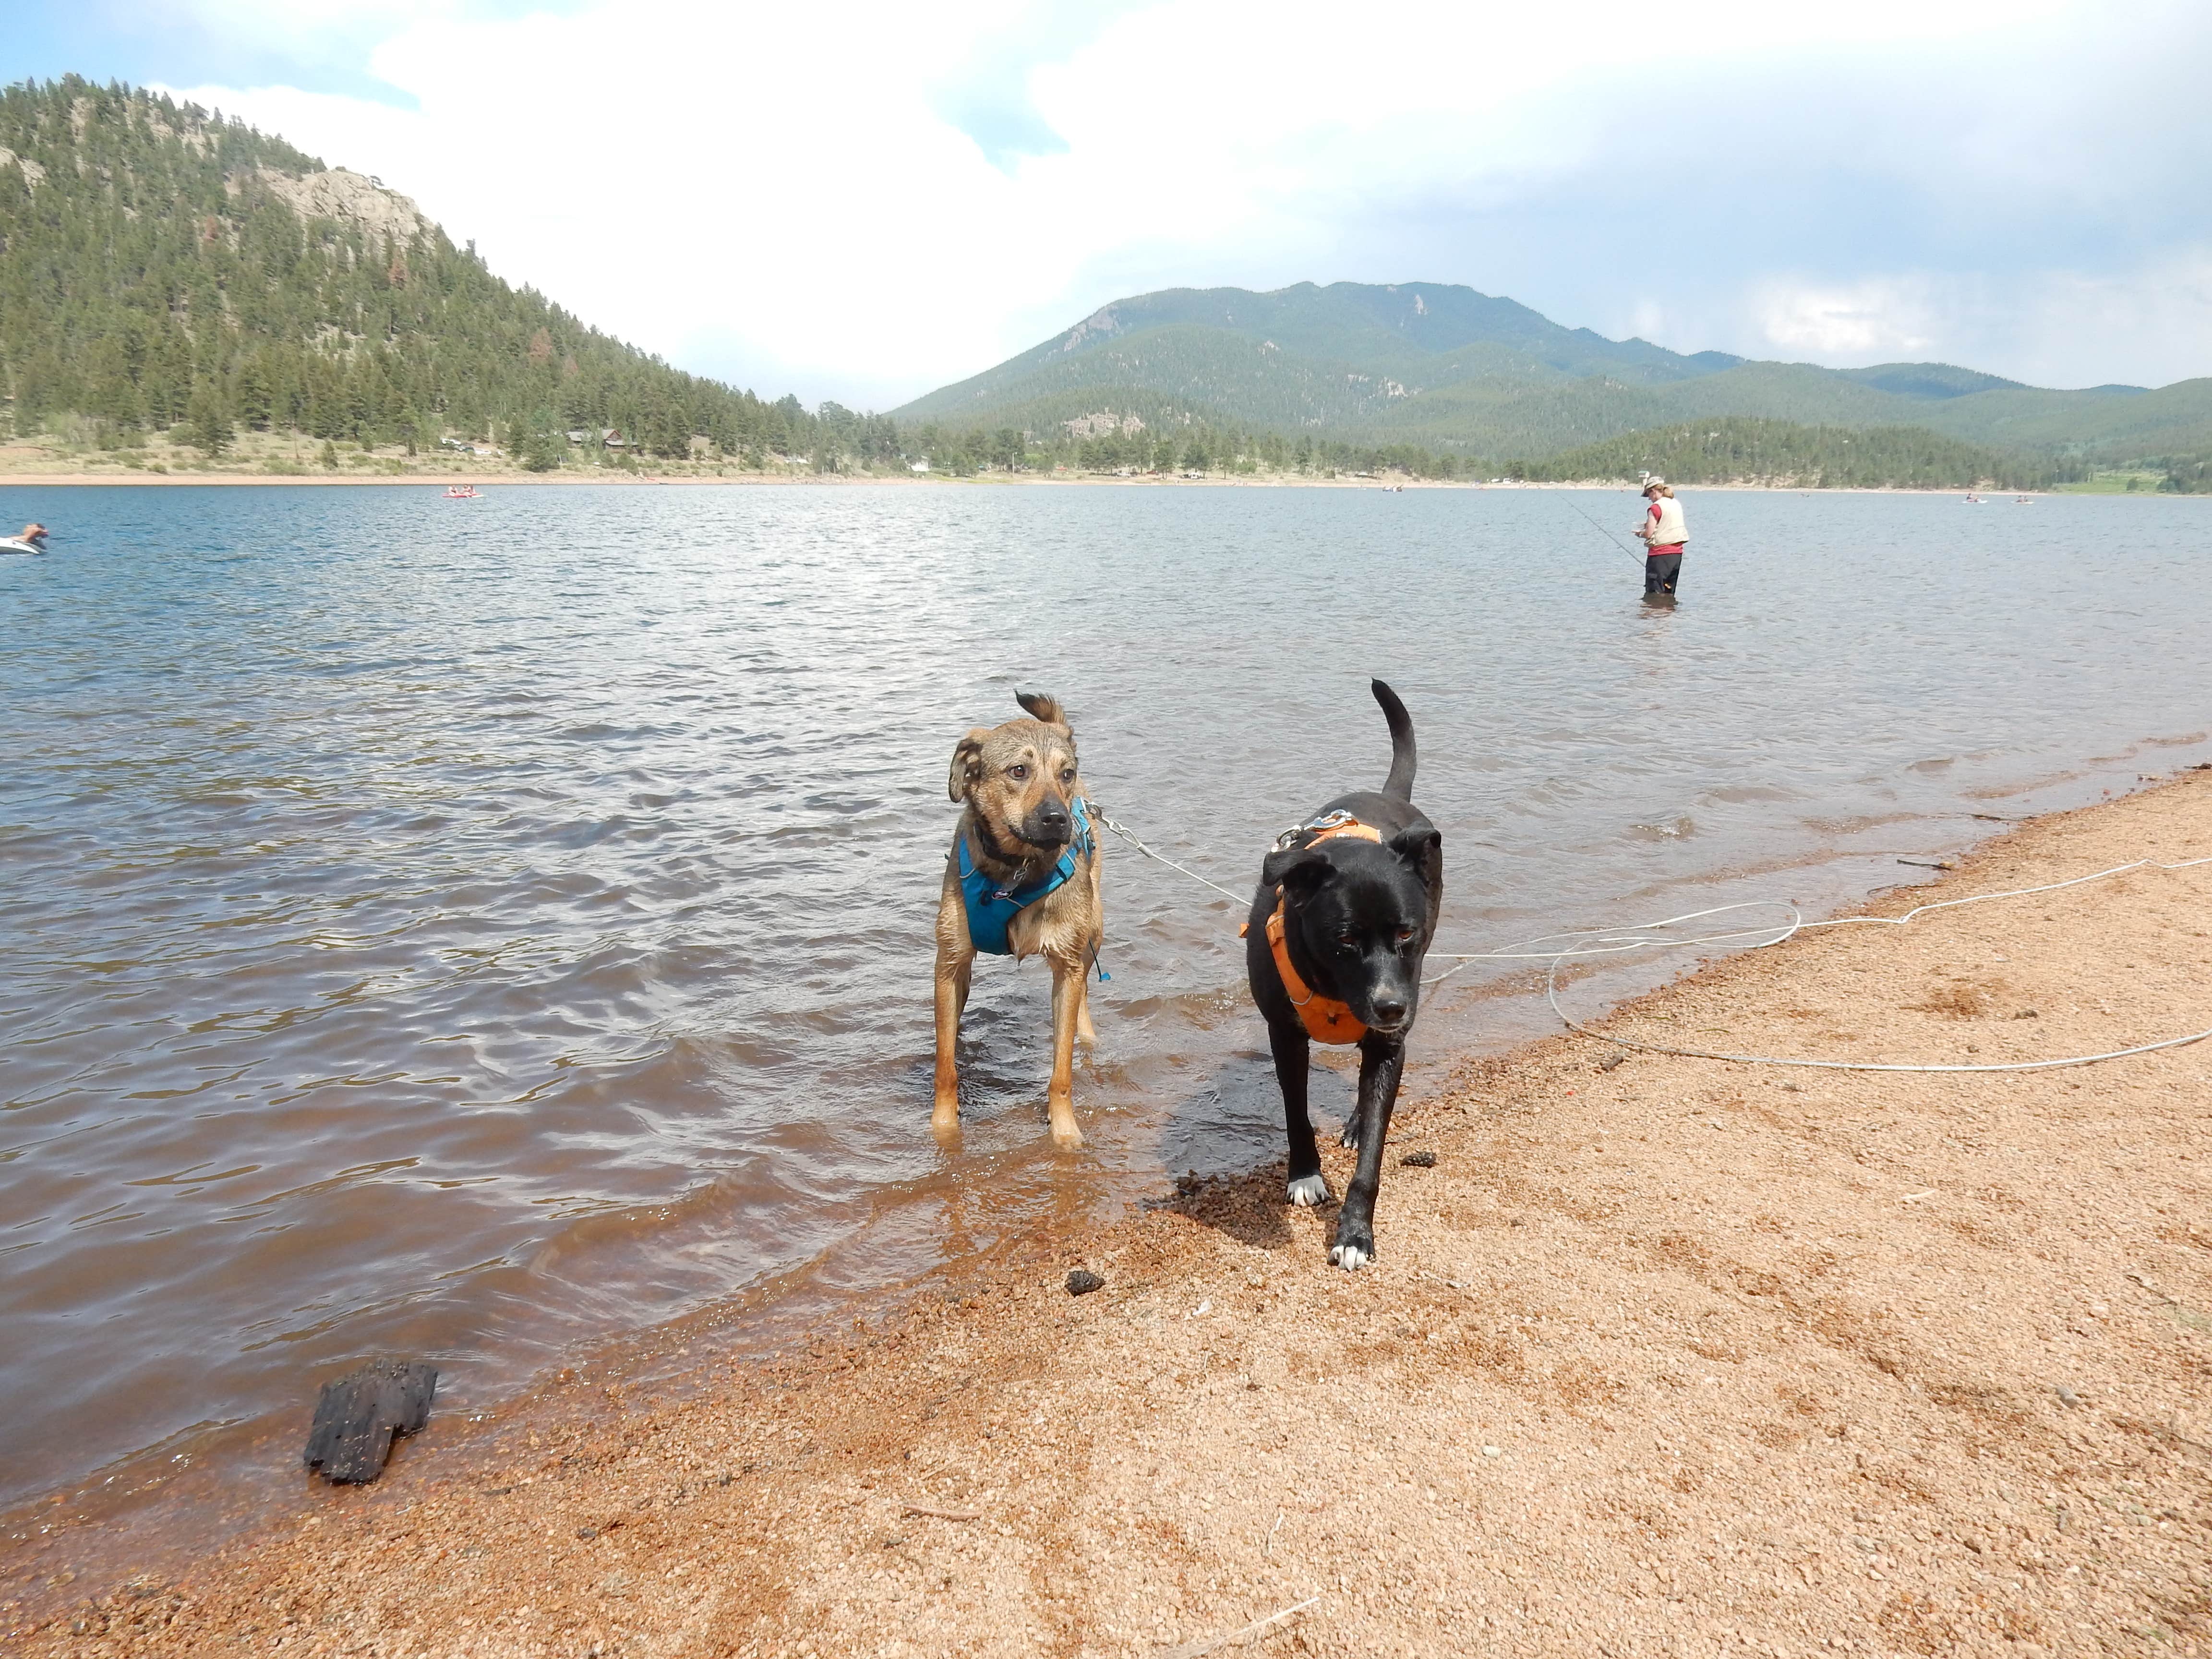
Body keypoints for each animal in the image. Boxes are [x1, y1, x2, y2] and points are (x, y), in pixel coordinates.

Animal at [933, 694, 1106, 1150]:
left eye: (1066, 774)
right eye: (1018, 771)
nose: (1058, 819)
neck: (1015, 872)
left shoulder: (1066, 965)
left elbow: (1061, 1072)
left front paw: (1064, 1131)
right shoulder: (950, 963)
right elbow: (945, 1065)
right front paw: (943, 1129)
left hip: (1093, 930)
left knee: (1085, 989)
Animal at [1256, 677, 1442, 1274]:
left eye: (1406, 933)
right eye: (1344, 939)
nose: (1391, 1007)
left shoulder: (1390, 1043)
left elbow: (1373, 1161)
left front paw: (1356, 1233)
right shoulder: (1285, 1035)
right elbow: (1295, 1113)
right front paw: (1305, 1177)